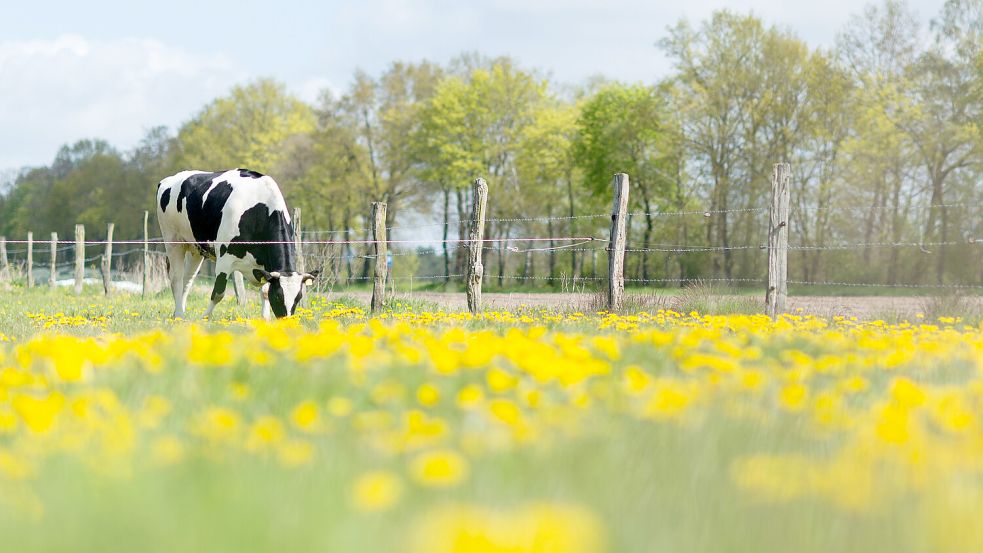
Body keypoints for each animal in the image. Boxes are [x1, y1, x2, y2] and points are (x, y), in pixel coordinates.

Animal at [156, 170, 320, 322]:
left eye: (298, 298)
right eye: (279, 297)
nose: (286, 322)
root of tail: (169, 179)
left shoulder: (265, 266)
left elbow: (264, 292)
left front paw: (265, 320)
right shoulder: (224, 259)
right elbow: (218, 293)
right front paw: (205, 317)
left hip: (196, 248)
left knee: (187, 280)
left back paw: (180, 313)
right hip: (173, 241)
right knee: (176, 278)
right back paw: (178, 314)